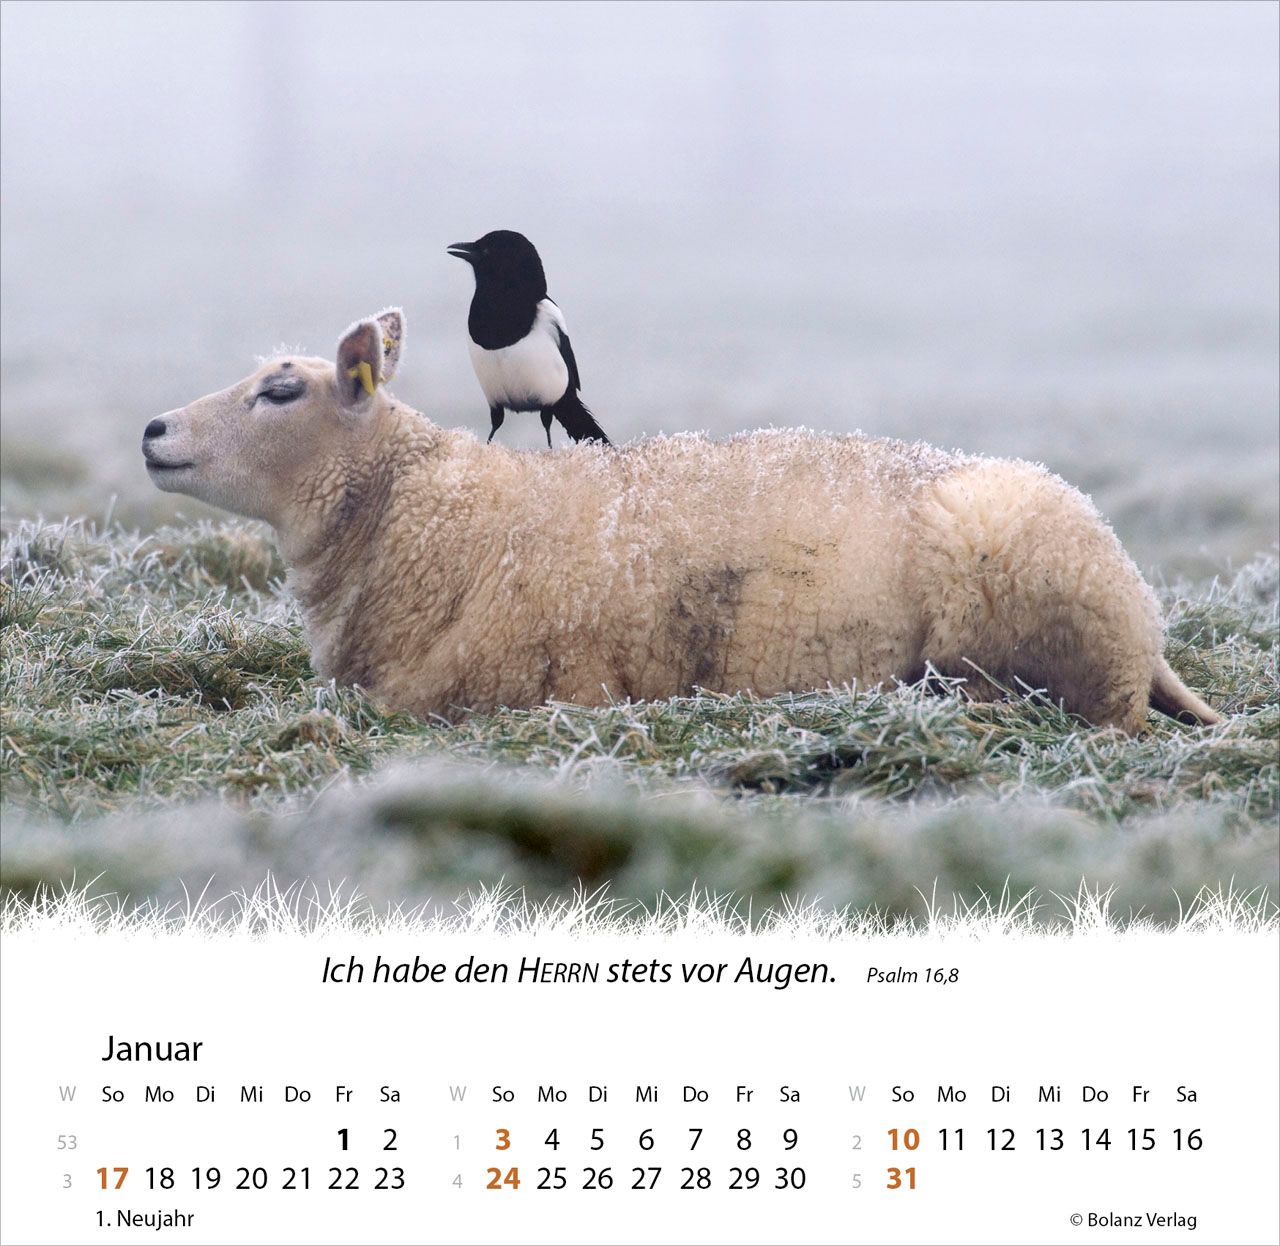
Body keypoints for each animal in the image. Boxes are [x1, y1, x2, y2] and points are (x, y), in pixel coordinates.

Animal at [141, 308, 1221, 733]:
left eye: (281, 390)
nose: (153, 430)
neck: (434, 517)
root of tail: (1142, 618)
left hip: (1035, 632)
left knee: (1087, 713)